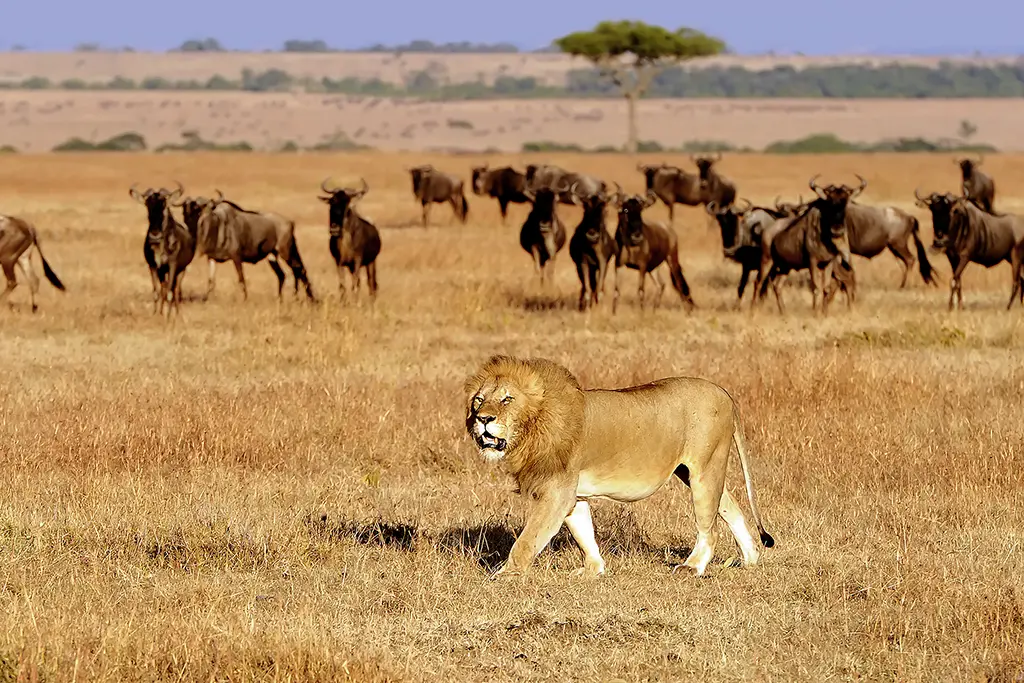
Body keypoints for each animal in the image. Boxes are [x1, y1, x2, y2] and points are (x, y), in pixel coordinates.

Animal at [464, 355, 775, 578]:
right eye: (479, 399)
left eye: (507, 399)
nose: (483, 419)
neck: (532, 428)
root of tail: (724, 392)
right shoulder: (573, 494)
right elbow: (583, 532)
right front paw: (594, 570)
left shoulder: (556, 491)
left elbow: (528, 539)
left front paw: (506, 574)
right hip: (693, 472)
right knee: (731, 507)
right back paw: (750, 558)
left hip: (705, 469)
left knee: (710, 527)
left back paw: (692, 567)